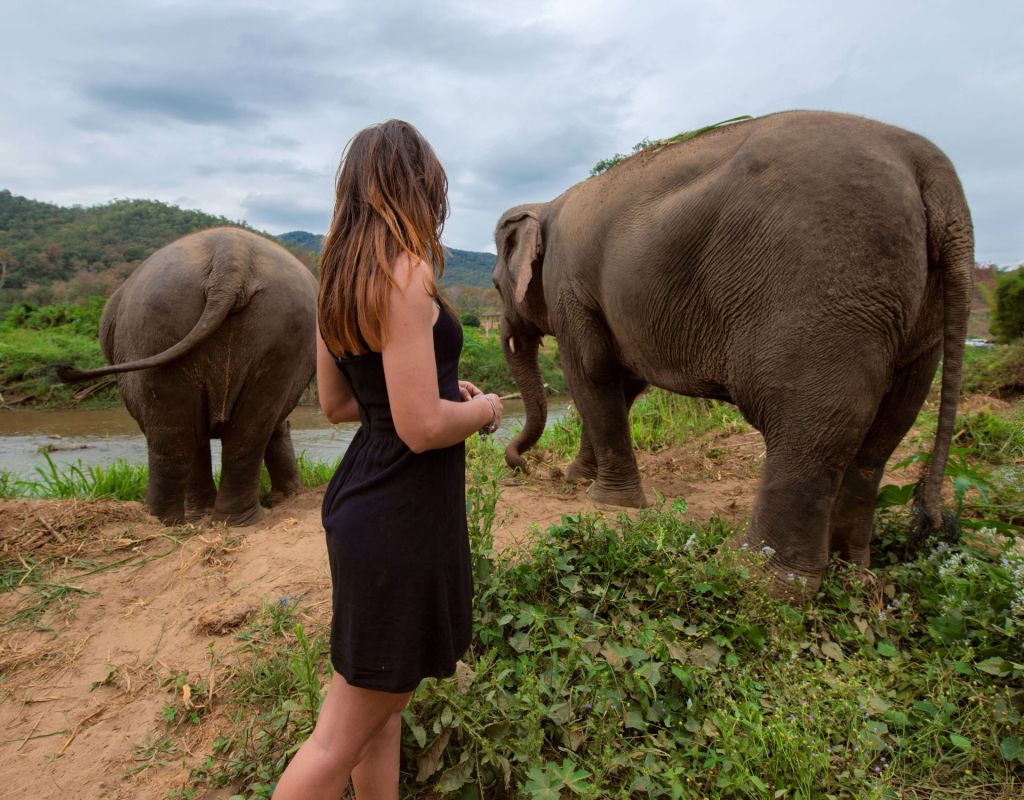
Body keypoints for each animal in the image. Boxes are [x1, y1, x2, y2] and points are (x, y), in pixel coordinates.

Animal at [58, 226, 315, 524]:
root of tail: (231, 257)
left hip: (155, 327)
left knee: (180, 435)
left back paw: (168, 520)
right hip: (276, 331)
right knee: (239, 432)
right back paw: (220, 521)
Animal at [491, 109, 970, 590]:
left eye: (495, 285)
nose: (521, 465)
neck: (547, 203)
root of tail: (935, 174)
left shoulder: (568, 287)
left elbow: (591, 375)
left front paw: (608, 502)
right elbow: (621, 388)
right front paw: (579, 480)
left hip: (827, 282)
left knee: (811, 421)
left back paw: (755, 576)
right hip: (917, 312)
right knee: (886, 429)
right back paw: (850, 571)